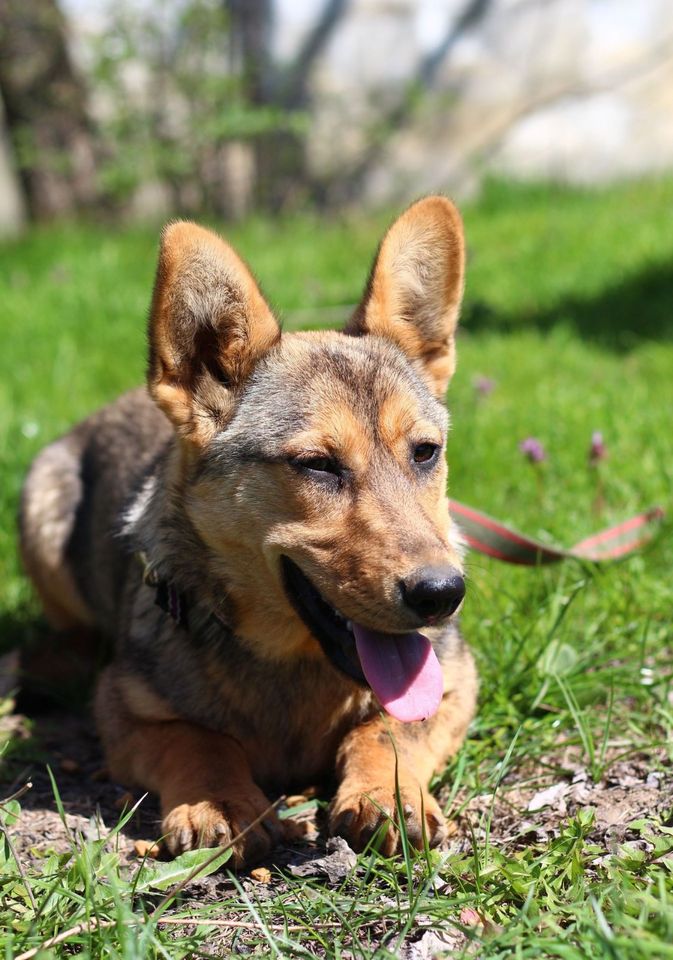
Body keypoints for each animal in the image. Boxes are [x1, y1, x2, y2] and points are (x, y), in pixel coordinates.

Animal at [18, 195, 476, 864]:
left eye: (425, 452)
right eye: (317, 464)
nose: (442, 594)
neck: (295, 664)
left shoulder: (456, 683)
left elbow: (388, 729)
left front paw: (387, 794)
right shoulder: (124, 708)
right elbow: (201, 740)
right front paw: (222, 804)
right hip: (41, 504)